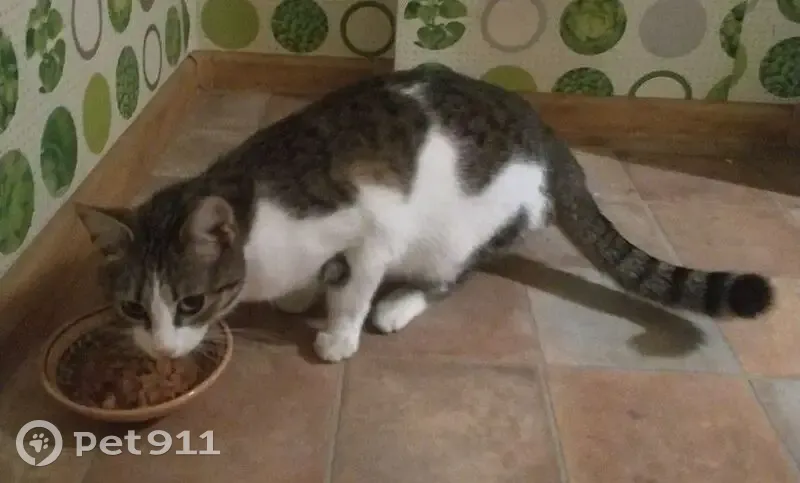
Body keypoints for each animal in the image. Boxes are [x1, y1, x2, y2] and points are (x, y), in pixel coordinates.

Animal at [75, 65, 774, 363]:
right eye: (132, 308)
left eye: (190, 304)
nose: (162, 349)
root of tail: (552, 140)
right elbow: (317, 280)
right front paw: (301, 296)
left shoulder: (373, 229)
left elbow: (353, 287)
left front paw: (339, 333)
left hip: (461, 231)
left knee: (453, 275)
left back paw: (400, 305)